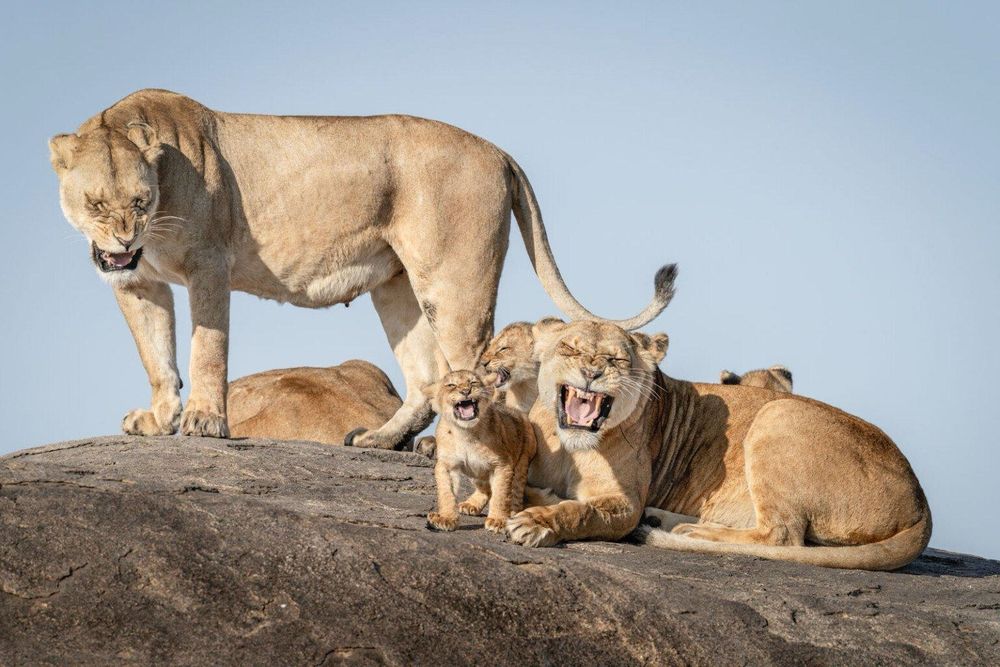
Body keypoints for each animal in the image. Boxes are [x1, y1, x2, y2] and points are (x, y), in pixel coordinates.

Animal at [423, 370, 536, 534]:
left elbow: (501, 494)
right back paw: (471, 504)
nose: (465, 391)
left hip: (522, 461)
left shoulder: (502, 465)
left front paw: (498, 521)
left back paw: (512, 513)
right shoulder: (446, 465)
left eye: (473, 382)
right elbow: (446, 493)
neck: (466, 433)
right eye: (451, 385)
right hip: (476, 472)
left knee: (515, 491)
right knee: (486, 488)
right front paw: (446, 518)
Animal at [505, 319, 931, 571]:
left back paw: (690, 534)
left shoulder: (624, 503)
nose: (592, 372)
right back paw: (662, 521)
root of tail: (922, 504)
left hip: (777, 413)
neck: (572, 447)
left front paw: (537, 521)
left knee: (781, 535)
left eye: (617, 360)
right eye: (570, 349)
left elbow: (581, 511)